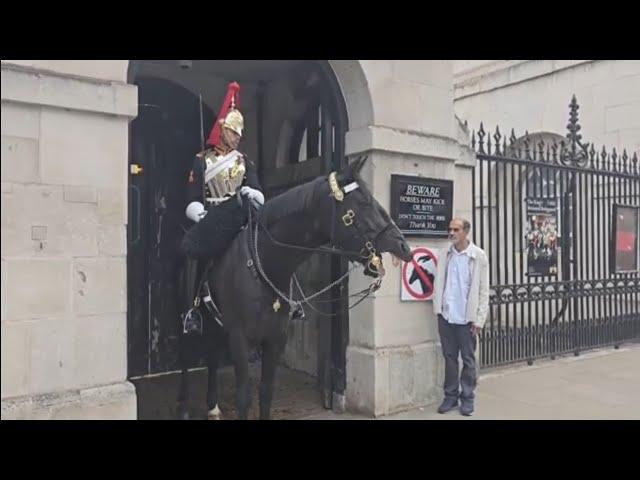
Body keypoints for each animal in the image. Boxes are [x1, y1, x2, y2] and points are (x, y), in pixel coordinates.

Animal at [178, 158, 412, 420]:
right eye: (363, 203)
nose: (403, 246)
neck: (265, 265)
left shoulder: (275, 339)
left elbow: (266, 392)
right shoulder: (240, 338)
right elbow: (244, 397)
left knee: (212, 356)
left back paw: (213, 407)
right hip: (190, 323)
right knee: (187, 358)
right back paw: (185, 409)